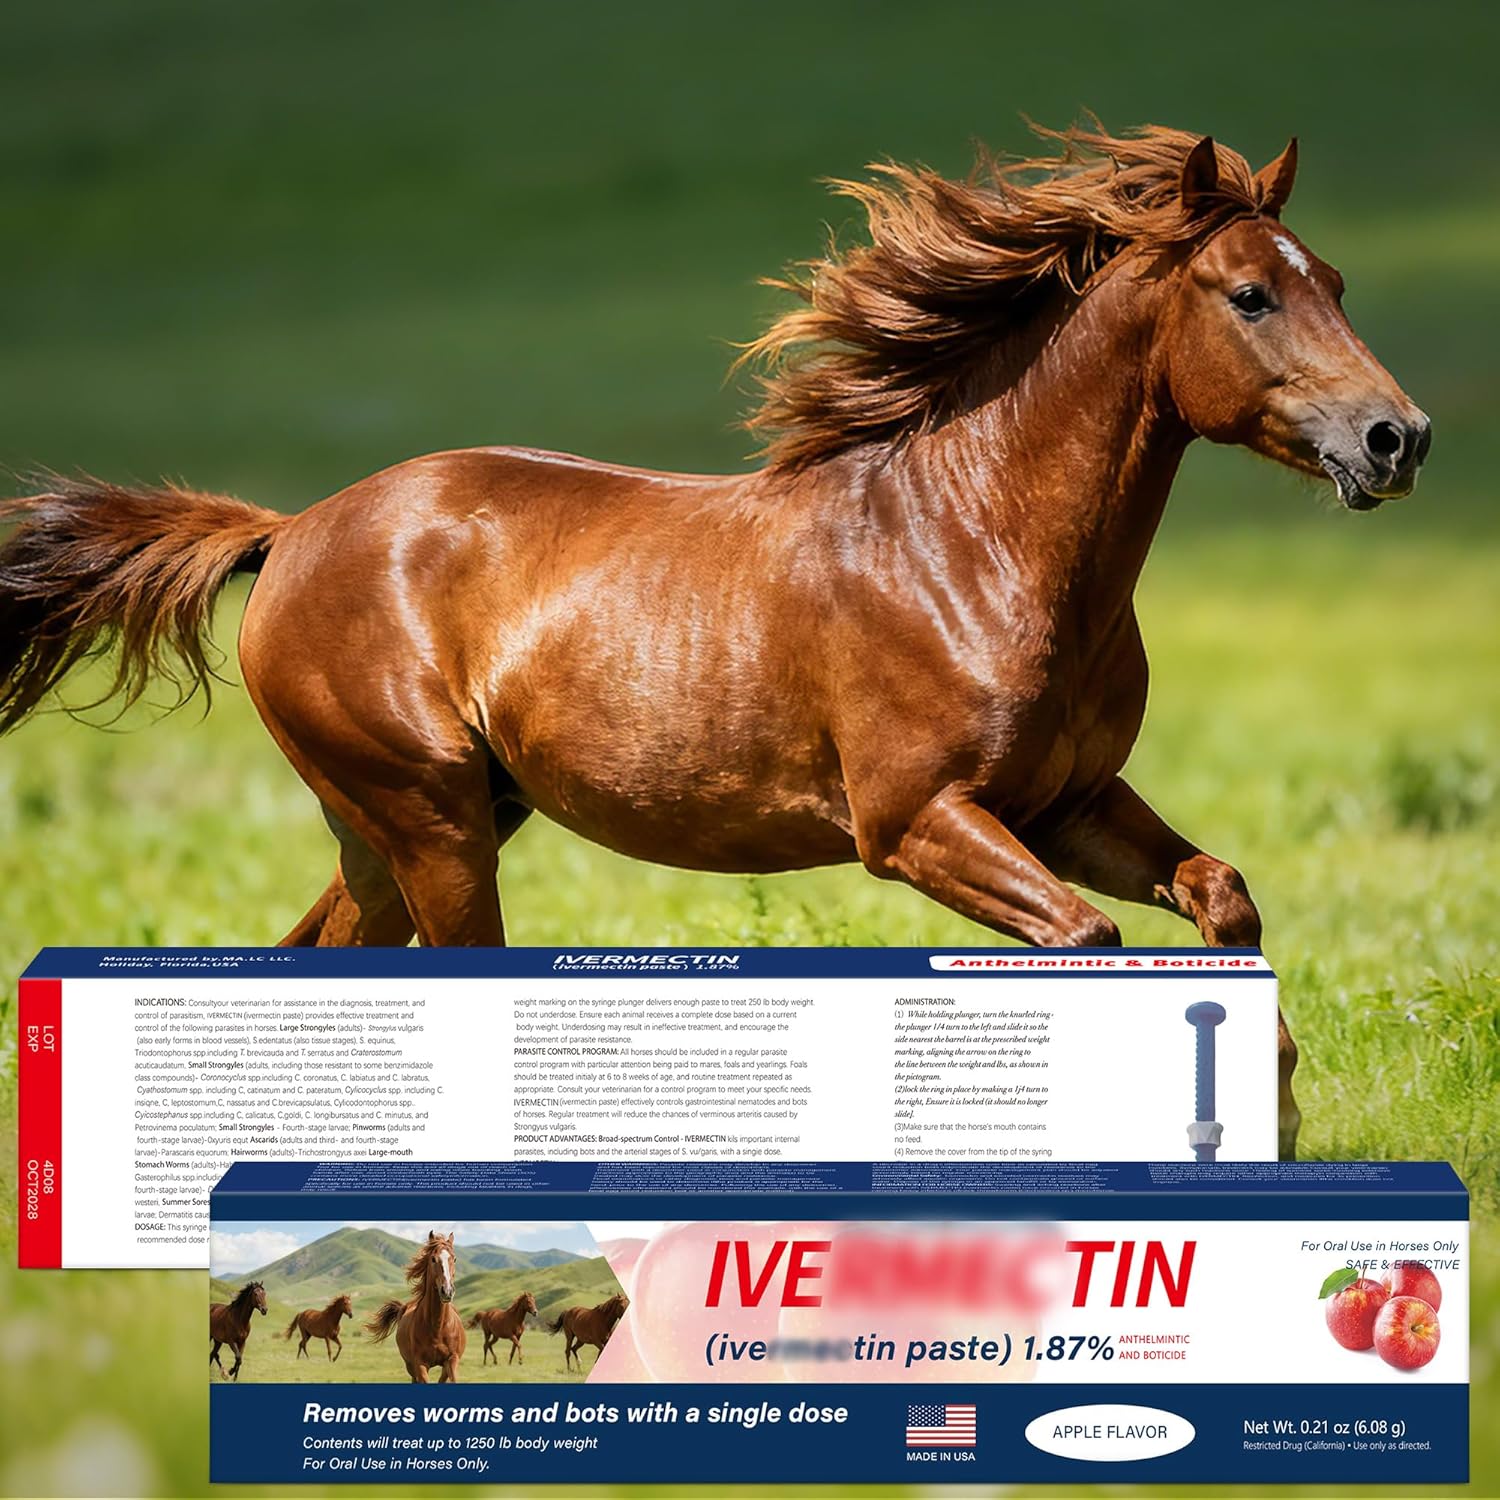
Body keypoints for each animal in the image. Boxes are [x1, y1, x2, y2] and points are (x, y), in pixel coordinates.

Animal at [0, 125, 1430, 1159]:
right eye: (1250, 295)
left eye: (1337, 282)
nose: (1397, 439)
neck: (972, 544)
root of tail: (291, 531)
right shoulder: (916, 820)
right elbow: (1084, 942)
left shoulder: (1068, 802)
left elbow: (1220, 894)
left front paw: (1277, 1106)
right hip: (433, 819)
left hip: (412, 825)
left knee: (318, 961)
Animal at [365, 1231, 466, 1382]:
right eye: (433, 1259)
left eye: (454, 1259)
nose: (447, 1291)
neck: (438, 1328)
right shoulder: (420, 1364)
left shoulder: (452, 1359)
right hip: (410, 1366)